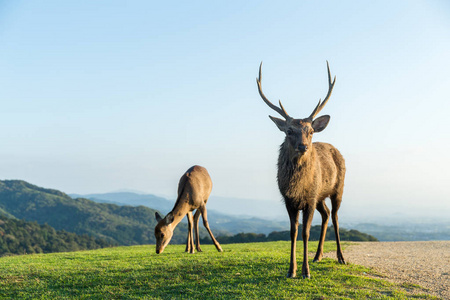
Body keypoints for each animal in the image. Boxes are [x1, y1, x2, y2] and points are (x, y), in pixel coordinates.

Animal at [255, 61, 346, 278]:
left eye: (310, 131)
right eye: (289, 131)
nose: (303, 146)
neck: (297, 187)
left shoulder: (310, 199)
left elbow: (305, 232)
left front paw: (306, 272)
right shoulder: (289, 200)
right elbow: (293, 232)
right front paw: (291, 270)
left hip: (338, 188)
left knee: (336, 217)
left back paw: (340, 257)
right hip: (321, 195)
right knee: (326, 214)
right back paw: (318, 256)